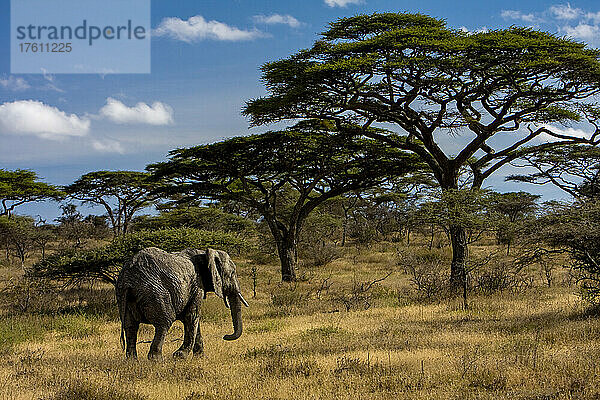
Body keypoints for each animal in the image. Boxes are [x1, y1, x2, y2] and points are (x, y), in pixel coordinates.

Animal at [116, 245, 247, 360]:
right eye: (232, 273)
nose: (225, 336)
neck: (204, 253)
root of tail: (129, 277)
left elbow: (195, 321)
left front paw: (200, 358)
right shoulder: (197, 285)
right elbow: (192, 317)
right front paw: (179, 356)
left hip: (123, 294)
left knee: (130, 326)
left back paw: (132, 361)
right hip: (154, 291)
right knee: (164, 322)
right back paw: (157, 360)